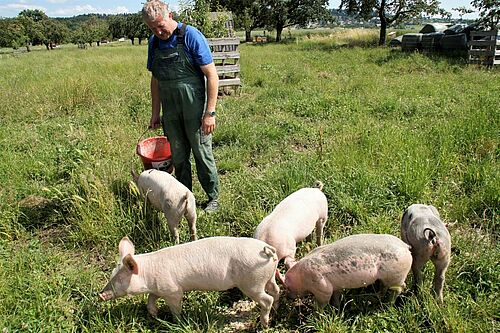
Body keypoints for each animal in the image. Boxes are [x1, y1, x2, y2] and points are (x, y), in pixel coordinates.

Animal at [97, 235, 278, 326]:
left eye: (120, 278)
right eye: (112, 273)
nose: (100, 294)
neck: (147, 275)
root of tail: (266, 250)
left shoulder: (172, 290)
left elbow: (175, 307)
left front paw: (177, 321)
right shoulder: (159, 288)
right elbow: (151, 299)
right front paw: (154, 314)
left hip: (252, 283)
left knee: (267, 299)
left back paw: (264, 324)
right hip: (268, 277)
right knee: (275, 290)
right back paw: (276, 309)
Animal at [284, 232, 412, 308]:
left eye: (288, 287)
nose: (288, 297)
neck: (302, 277)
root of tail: (405, 246)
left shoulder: (322, 287)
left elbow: (323, 302)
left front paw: (317, 314)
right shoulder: (335, 286)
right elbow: (336, 296)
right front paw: (336, 309)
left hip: (397, 275)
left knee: (399, 288)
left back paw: (388, 305)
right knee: (386, 286)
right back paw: (375, 297)